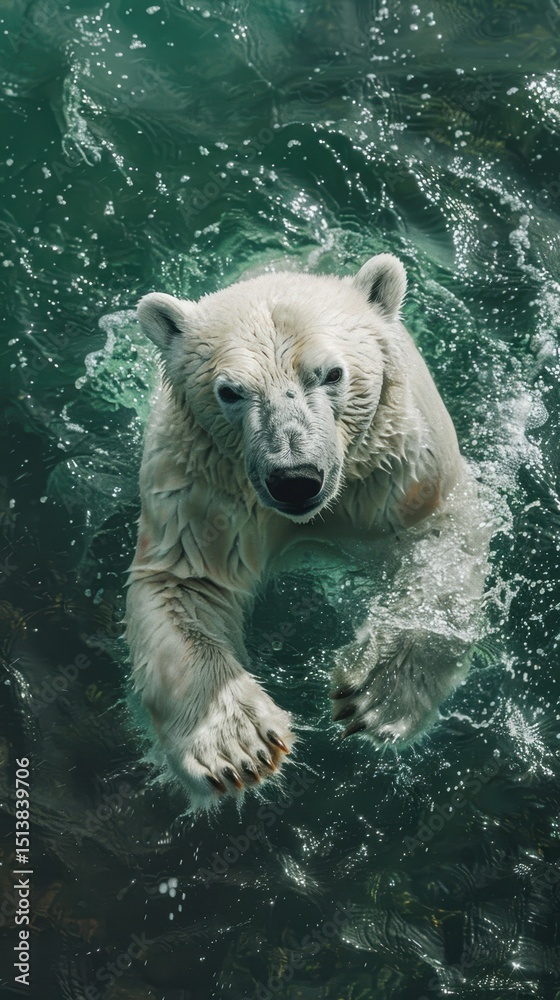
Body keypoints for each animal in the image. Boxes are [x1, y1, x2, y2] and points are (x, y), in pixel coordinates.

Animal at [126, 253, 488, 812]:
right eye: (230, 391)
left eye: (332, 373)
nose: (295, 478)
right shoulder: (208, 485)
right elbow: (186, 584)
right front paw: (239, 748)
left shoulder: (398, 470)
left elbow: (440, 548)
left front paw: (374, 695)